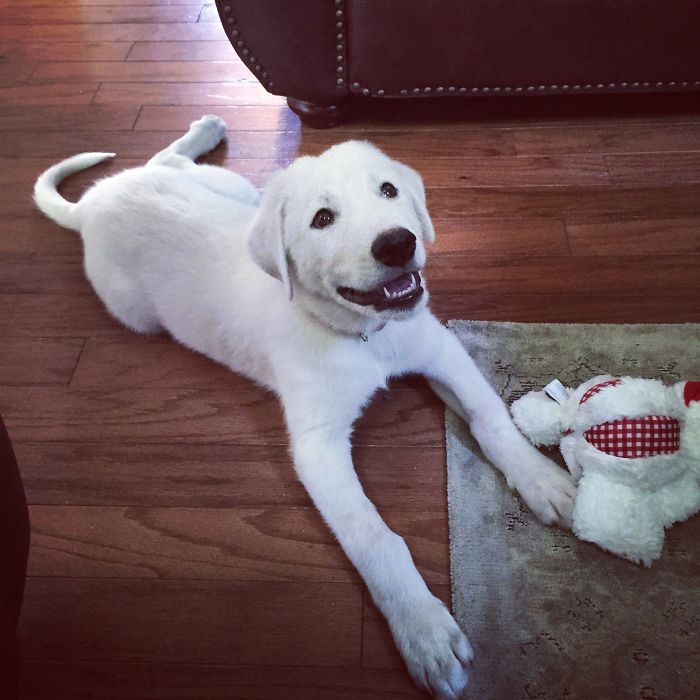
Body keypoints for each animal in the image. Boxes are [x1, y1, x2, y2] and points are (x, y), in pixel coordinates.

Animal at [34, 116, 576, 700]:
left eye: (389, 191)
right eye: (322, 219)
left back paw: (203, 133)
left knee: (166, 160)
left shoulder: (440, 351)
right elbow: (373, 536)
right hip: (134, 311)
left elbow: (491, 418)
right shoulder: (318, 446)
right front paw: (423, 629)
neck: (365, 337)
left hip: (235, 192)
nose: (398, 243)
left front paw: (544, 481)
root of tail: (95, 203)